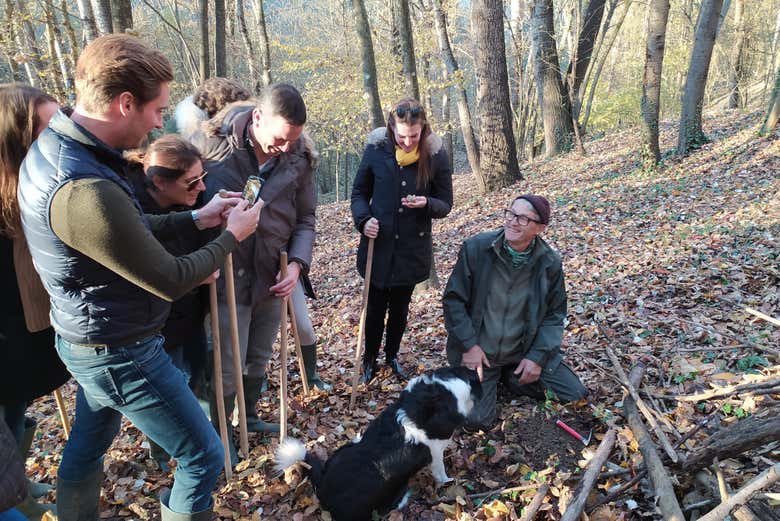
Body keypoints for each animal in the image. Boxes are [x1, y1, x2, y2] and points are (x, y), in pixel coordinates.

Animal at [274, 366, 482, 520]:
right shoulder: (436, 452)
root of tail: (323, 485)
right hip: (391, 494)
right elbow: (441, 472)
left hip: (349, 445)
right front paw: (448, 481)